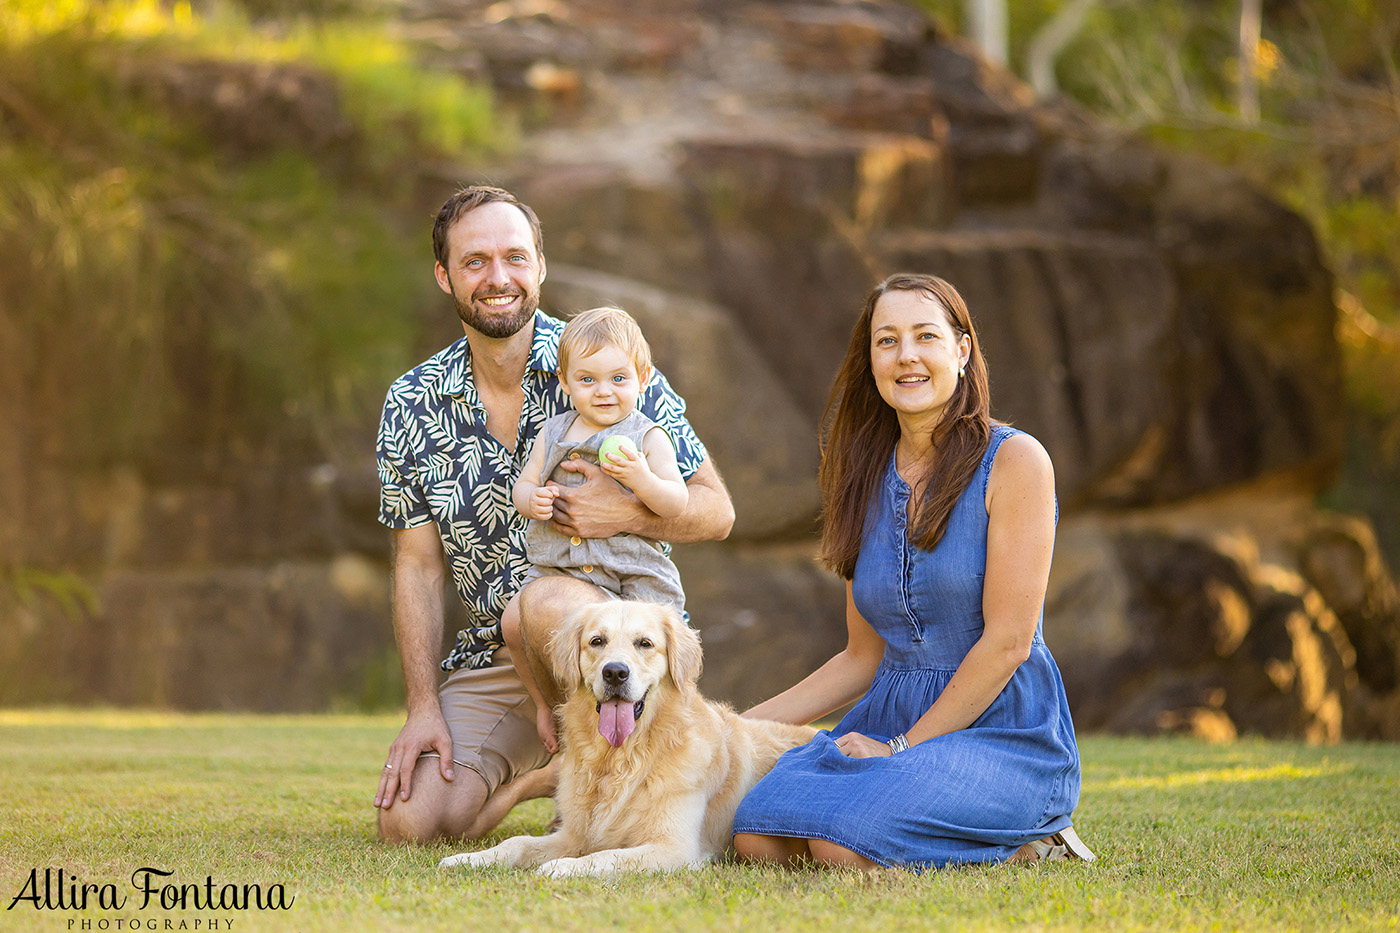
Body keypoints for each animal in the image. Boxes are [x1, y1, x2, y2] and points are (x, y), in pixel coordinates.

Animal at [434, 599, 812, 874]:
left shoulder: (674, 848)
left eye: (644, 643)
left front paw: (562, 867)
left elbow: (608, 855)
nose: (615, 672)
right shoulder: (576, 833)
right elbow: (518, 842)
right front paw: (469, 858)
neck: (620, 759)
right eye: (596, 641)